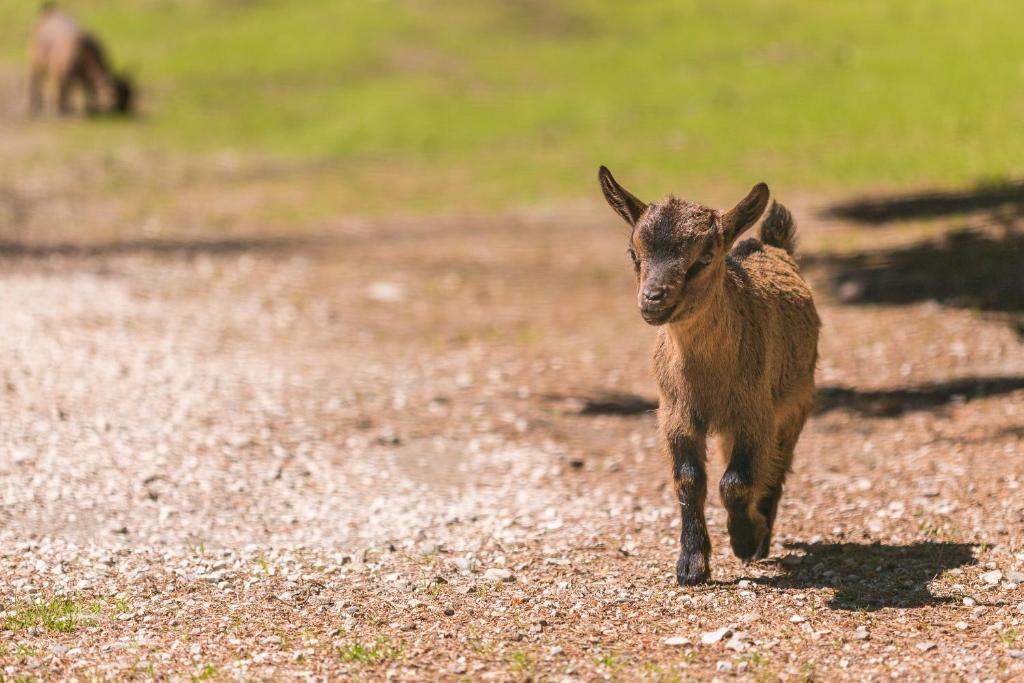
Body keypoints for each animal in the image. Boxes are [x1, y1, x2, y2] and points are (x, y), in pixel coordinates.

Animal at [598, 167, 819, 585]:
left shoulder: (756, 414)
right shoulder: (675, 415)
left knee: (778, 464)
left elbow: (736, 482)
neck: (706, 381)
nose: (653, 298)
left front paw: (746, 539)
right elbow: (689, 479)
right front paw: (692, 564)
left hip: (795, 402)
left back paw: (763, 533)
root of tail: (773, 245)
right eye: (634, 253)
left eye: (704, 256)